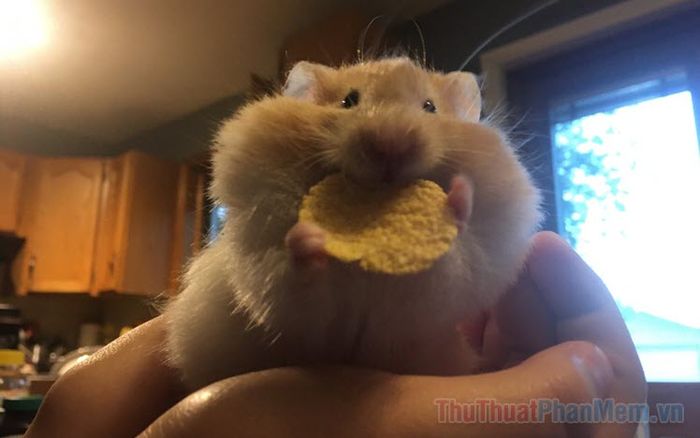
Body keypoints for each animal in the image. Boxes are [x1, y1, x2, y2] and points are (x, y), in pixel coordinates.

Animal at [164, 57, 542, 389]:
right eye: (349, 101)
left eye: (430, 107)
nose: (390, 145)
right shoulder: (276, 285)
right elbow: (293, 285)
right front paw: (308, 237)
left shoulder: (421, 308)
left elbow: (444, 268)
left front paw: (459, 197)